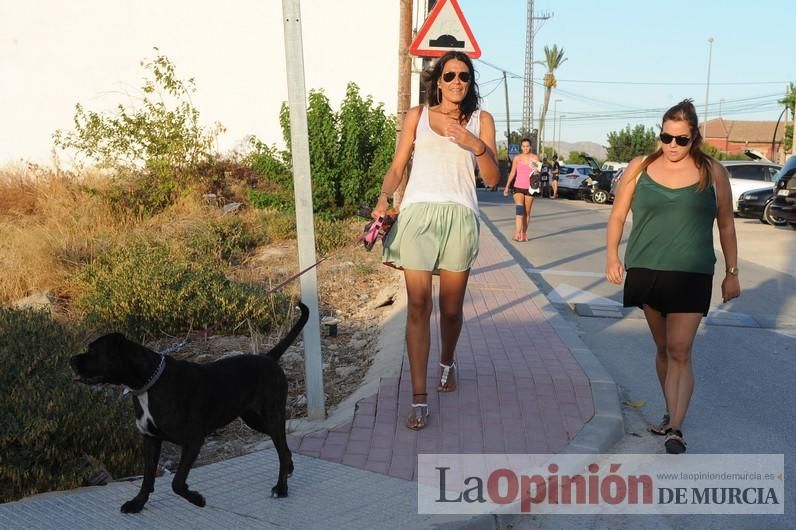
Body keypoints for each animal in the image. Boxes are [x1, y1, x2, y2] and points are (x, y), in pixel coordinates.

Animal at [70, 302, 308, 512]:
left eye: (93, 351)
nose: (71, 360)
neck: (149, 383)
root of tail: (269, 358)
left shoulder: (192, 441)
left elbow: (176, 482)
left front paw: (197, 499)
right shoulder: (150, 439)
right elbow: (147, 478)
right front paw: (137, 504)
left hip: (271, 415)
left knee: (281, 449)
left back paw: (281, 488)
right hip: (254, 419)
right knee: (284, 448)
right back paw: (289, 469)